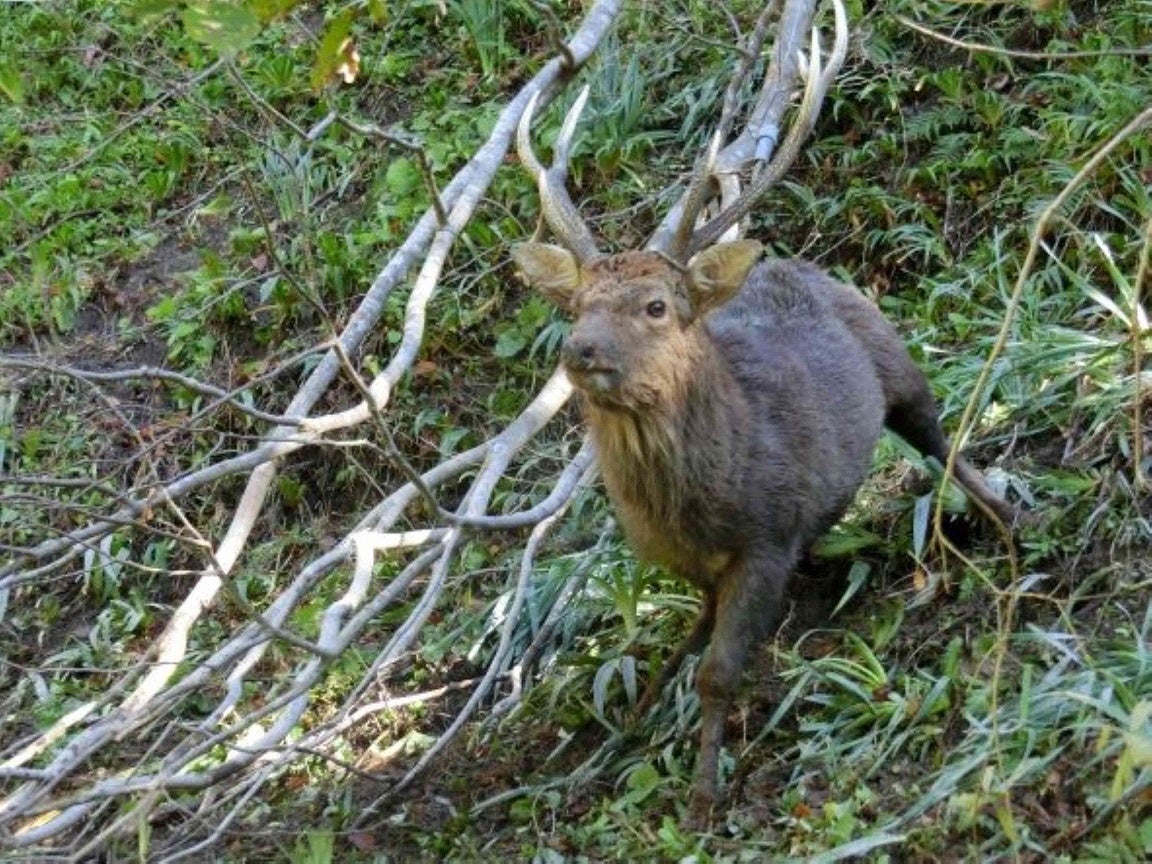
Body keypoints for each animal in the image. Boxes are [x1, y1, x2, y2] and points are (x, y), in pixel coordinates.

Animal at [511, 0, 1020, 829]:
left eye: (656, 306)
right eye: (577, 304)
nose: (579, 349)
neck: (699, 503)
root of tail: (792, 260)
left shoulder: (768, 536)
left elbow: (718, 671)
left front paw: (701, 799)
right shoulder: (687, 564)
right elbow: (692, 636)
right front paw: (631, 723)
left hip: (899, 363)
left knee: (940, 440)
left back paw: (1015, 524)